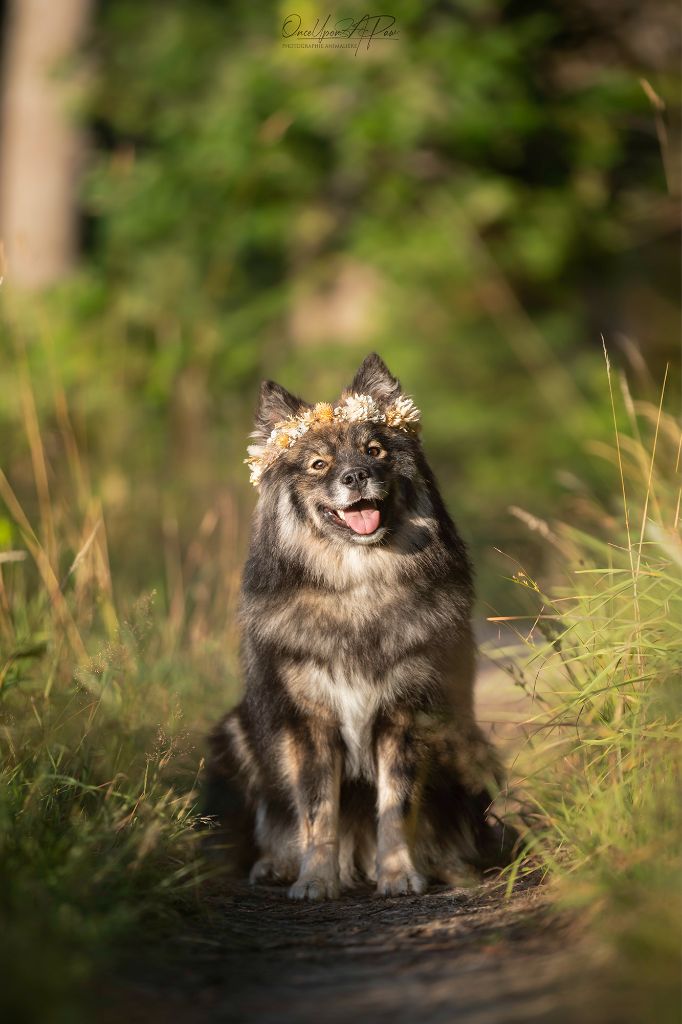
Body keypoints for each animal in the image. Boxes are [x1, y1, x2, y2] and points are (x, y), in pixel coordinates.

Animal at [204, 356, 512, 901]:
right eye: (318, 464)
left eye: (375, 451)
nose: (356, 476)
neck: (356, 586)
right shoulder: (310, 721)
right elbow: (316, 811)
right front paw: (315, 880)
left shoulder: (405, 714)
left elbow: (396, 804)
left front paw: (398, 874)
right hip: (237, 734)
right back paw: (275, 864)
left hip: (470, 746)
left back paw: (453, 866)